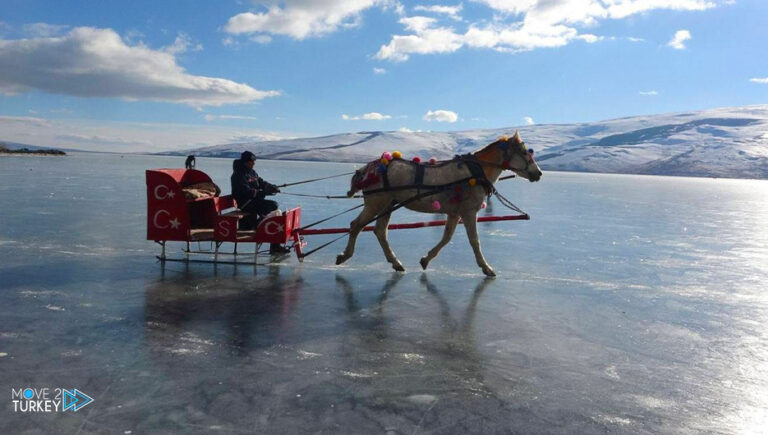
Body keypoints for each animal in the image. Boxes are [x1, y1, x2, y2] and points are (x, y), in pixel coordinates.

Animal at [336, 131, 540, 278]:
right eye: (524, 152)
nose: (538, 173)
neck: (476, 172)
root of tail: (367, 169)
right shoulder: (469, 210)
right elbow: (474, 241)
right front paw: (486, 267)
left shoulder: (454, 212)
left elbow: (447, 237)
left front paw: (426, 259)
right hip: (376, 202)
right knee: (356, 225)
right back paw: (344, 255)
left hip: (388, 204)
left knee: (380, 231)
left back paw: (395, 262)